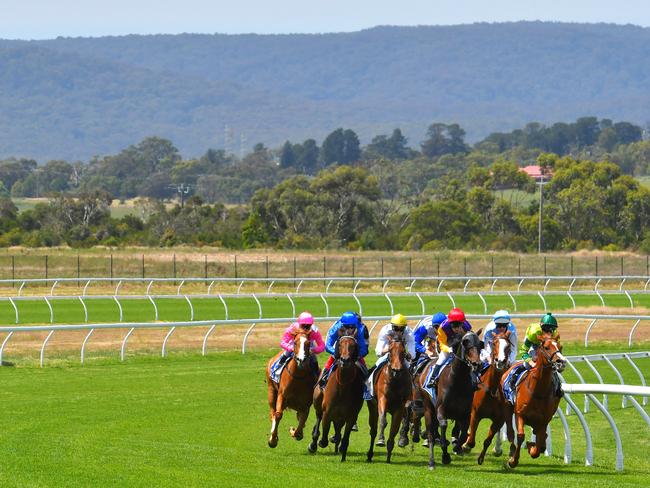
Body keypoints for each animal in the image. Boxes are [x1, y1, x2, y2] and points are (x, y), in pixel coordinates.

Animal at [306, 328, 362, 462]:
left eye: (353, 345)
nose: (345, 360)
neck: (343, 386)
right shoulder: (328, 412)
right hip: (318, 403)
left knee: (338, 428)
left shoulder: (351, 416)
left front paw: (341, 449)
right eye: (340, 344)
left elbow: (345, 438)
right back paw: (313, 443)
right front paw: (318, 442)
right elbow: (324, 438)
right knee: (318, 419)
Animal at [364, 334, 410, 464]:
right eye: (390, 350)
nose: (396, 370)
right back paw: (370, 454)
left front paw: (389, 456)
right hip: (372, 408)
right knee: (373, 431)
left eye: (403, 352)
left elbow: (394, 430)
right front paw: (381, 440)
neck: (395, 381)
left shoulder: (400, 407)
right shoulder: (382, 400)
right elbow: (383, 421)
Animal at [418, 330, 478, 470]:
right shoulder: (441, 410)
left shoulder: (465, 413)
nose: (476, 363)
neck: (457, 380)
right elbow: (444, 426)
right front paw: (445, 456)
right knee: (431, 434)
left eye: (480, 344)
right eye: (466, 344)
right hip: (428, 409)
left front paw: (457, 447)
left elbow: (463, 434)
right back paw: (431, 462)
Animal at [460, 330, 512, 464]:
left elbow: (487, 440)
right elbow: (471, 441)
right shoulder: (475, 414)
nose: (500, 361)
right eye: (494, 343)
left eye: (508, 346)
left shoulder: (499, 419)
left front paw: (481, 458)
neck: (492, 390)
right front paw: (465, 445)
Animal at [498, 336, 564, 468]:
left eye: (560, 347)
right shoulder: (520, 414)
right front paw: (513, 461)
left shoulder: (544, 420)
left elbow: (539, 444)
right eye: (546, 347)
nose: (560, 362)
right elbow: (520, 436)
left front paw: (531, 447)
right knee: (510, 431)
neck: (538, 391)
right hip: (507, 407)